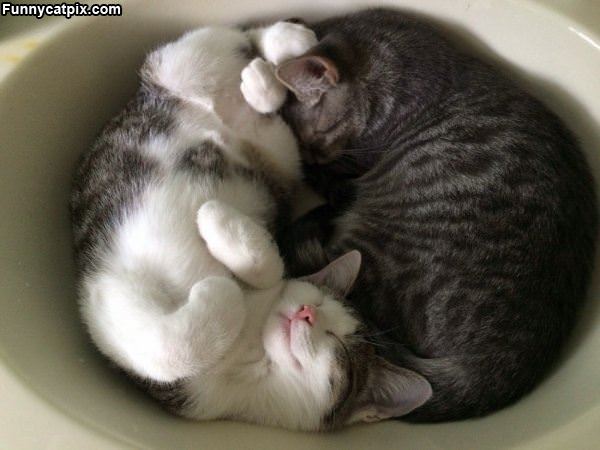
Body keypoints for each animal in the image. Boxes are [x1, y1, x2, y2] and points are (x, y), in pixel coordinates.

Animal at [70, 20, 434, 428]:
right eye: (315, 300)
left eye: (338, 344)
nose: (306, 312)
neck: (250, 347)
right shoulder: (108, 300)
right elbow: (171, 349)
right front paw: (220, 250)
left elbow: (178, 341)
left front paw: (219, 267)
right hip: (182, 67)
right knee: (229, 37)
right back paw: (284, 45)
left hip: (282, 158)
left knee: (267, 113)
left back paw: (265, 79)